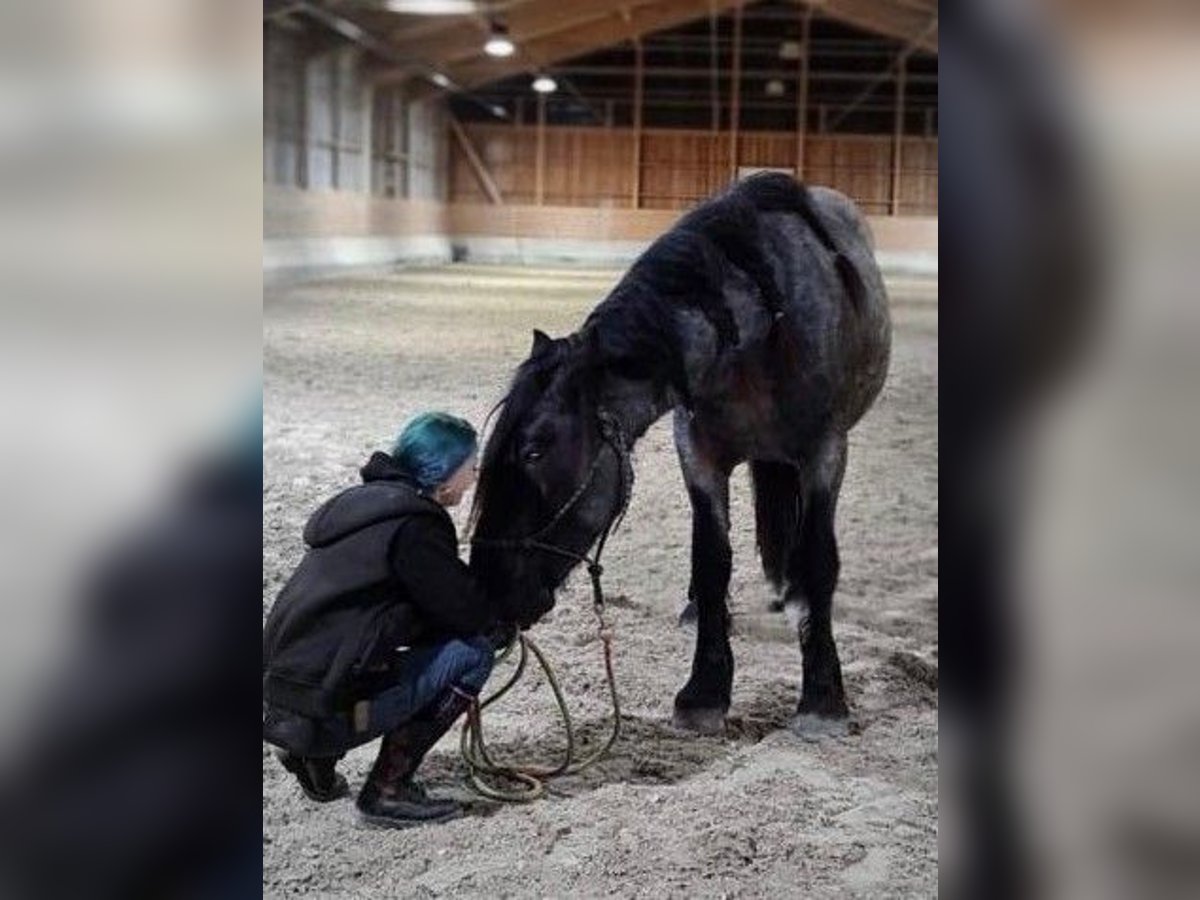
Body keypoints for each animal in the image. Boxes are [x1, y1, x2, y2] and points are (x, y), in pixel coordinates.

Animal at [468, 172, 892, 734]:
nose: (485, 593)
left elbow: (818, 558)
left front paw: (822, 695)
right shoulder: (699, 456)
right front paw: (705, 690)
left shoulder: (824, 453)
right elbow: (711, 561)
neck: (763, 333)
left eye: (535, 451)